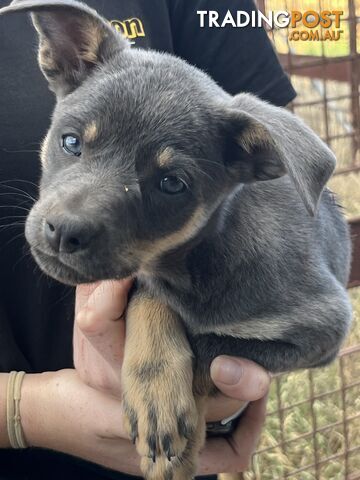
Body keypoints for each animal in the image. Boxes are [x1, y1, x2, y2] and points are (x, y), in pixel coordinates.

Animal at [0, 1, 352, 478]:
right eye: (70, 141)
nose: (64, 231)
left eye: (171, 184)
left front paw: (169, 422)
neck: (201, 262)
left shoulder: (320, 328)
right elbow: (151, 296)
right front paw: (157, 388)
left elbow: (210, 347)